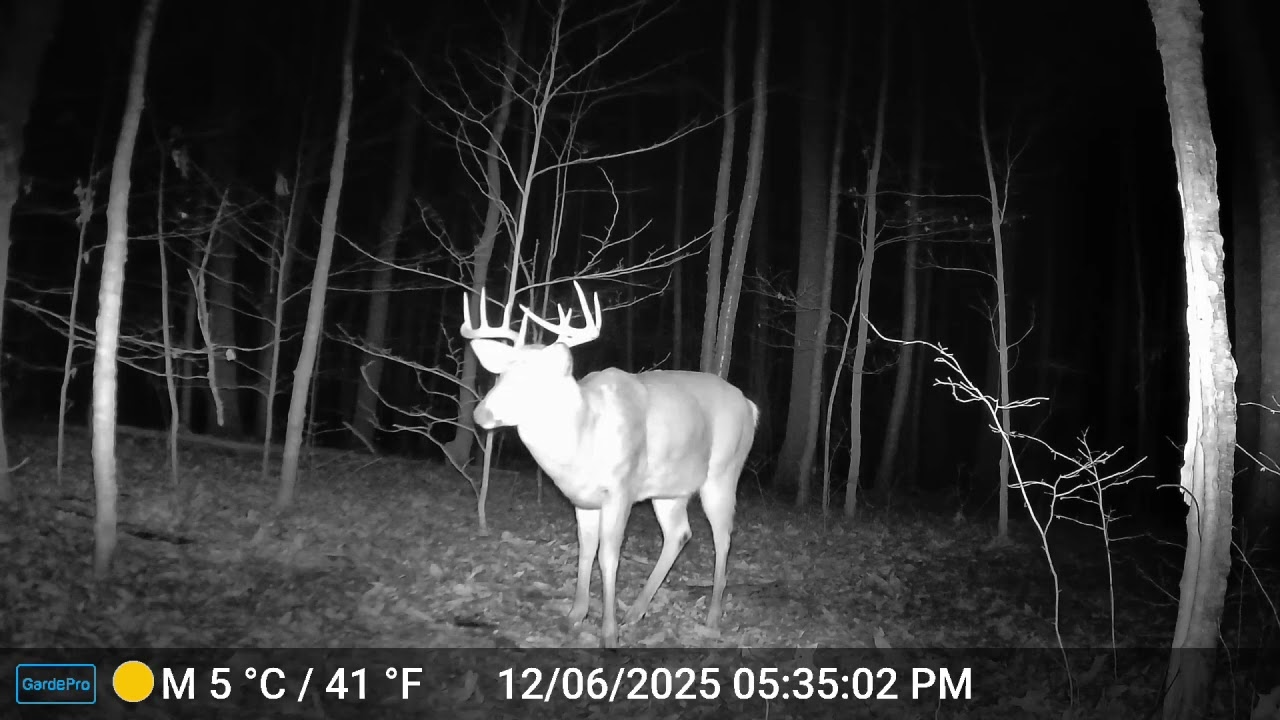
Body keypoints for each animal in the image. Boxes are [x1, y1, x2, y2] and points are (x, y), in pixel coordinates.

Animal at [460, 281, 758, 648]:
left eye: (533, 377)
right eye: (500, 374)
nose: (481, 413)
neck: (583, 440)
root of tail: (749, 405)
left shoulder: (621, 489)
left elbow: (609, 556)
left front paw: (608, 632)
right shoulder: (582, 500)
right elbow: (586, 549)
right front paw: (576, 614)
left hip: (723, 472)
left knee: (723, 536)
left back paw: (713, 617)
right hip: (668, 489)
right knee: (679, 533)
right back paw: (637, 611)